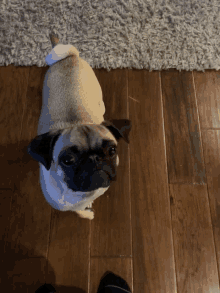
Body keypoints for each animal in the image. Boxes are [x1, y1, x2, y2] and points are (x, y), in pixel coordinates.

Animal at [26, 33, 131, 218]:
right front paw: (87, 214)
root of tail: (69, 57)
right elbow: (79, 211)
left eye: (112, 150)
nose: (94, 158)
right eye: (67, 160)